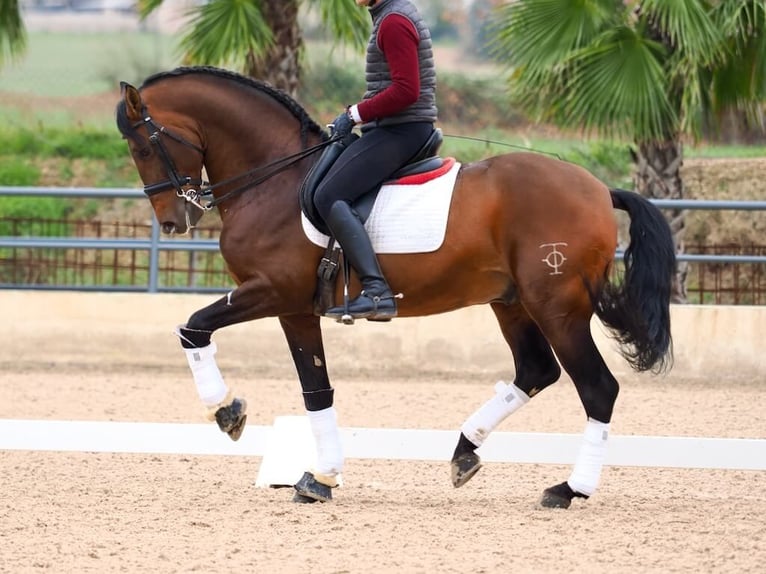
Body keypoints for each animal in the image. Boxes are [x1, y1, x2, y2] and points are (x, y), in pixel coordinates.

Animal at [117, 65, 676, 510]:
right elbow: (316, 389)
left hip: (556, 305)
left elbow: (193, 328)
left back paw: (569, 489)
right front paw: (321, 478)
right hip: (511, 302)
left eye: (143, 146)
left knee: (597, 387)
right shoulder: (295, 309)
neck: (272, 181)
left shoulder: (271, 293)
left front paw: (227, 411)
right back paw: (464, 452)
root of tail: (600, 189)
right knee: (536, 370)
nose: (174, 221)